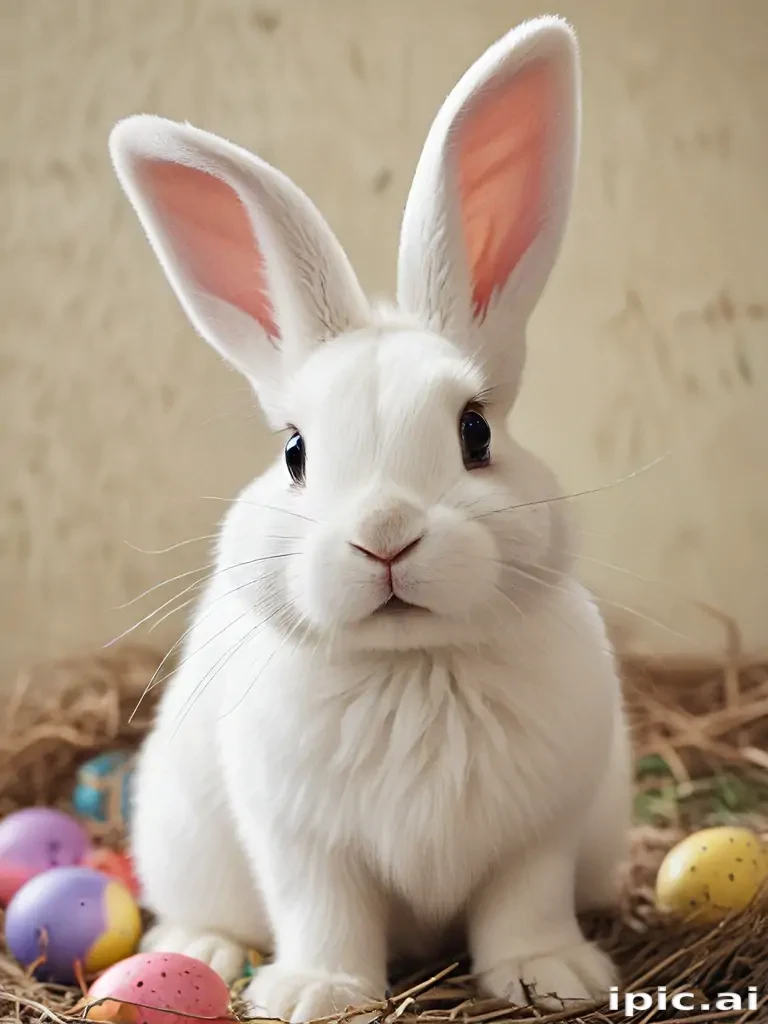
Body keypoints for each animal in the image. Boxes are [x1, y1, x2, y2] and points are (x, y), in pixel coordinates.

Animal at [109, 14, 631, 1022]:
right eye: (295, 452)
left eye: (475, 432)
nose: (386, 533)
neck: (413, 667)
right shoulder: (303, 843)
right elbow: (325, 913)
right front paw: (316, 992)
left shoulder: (540, 832)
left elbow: (524, 905)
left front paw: (554, 977)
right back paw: (198, 949)